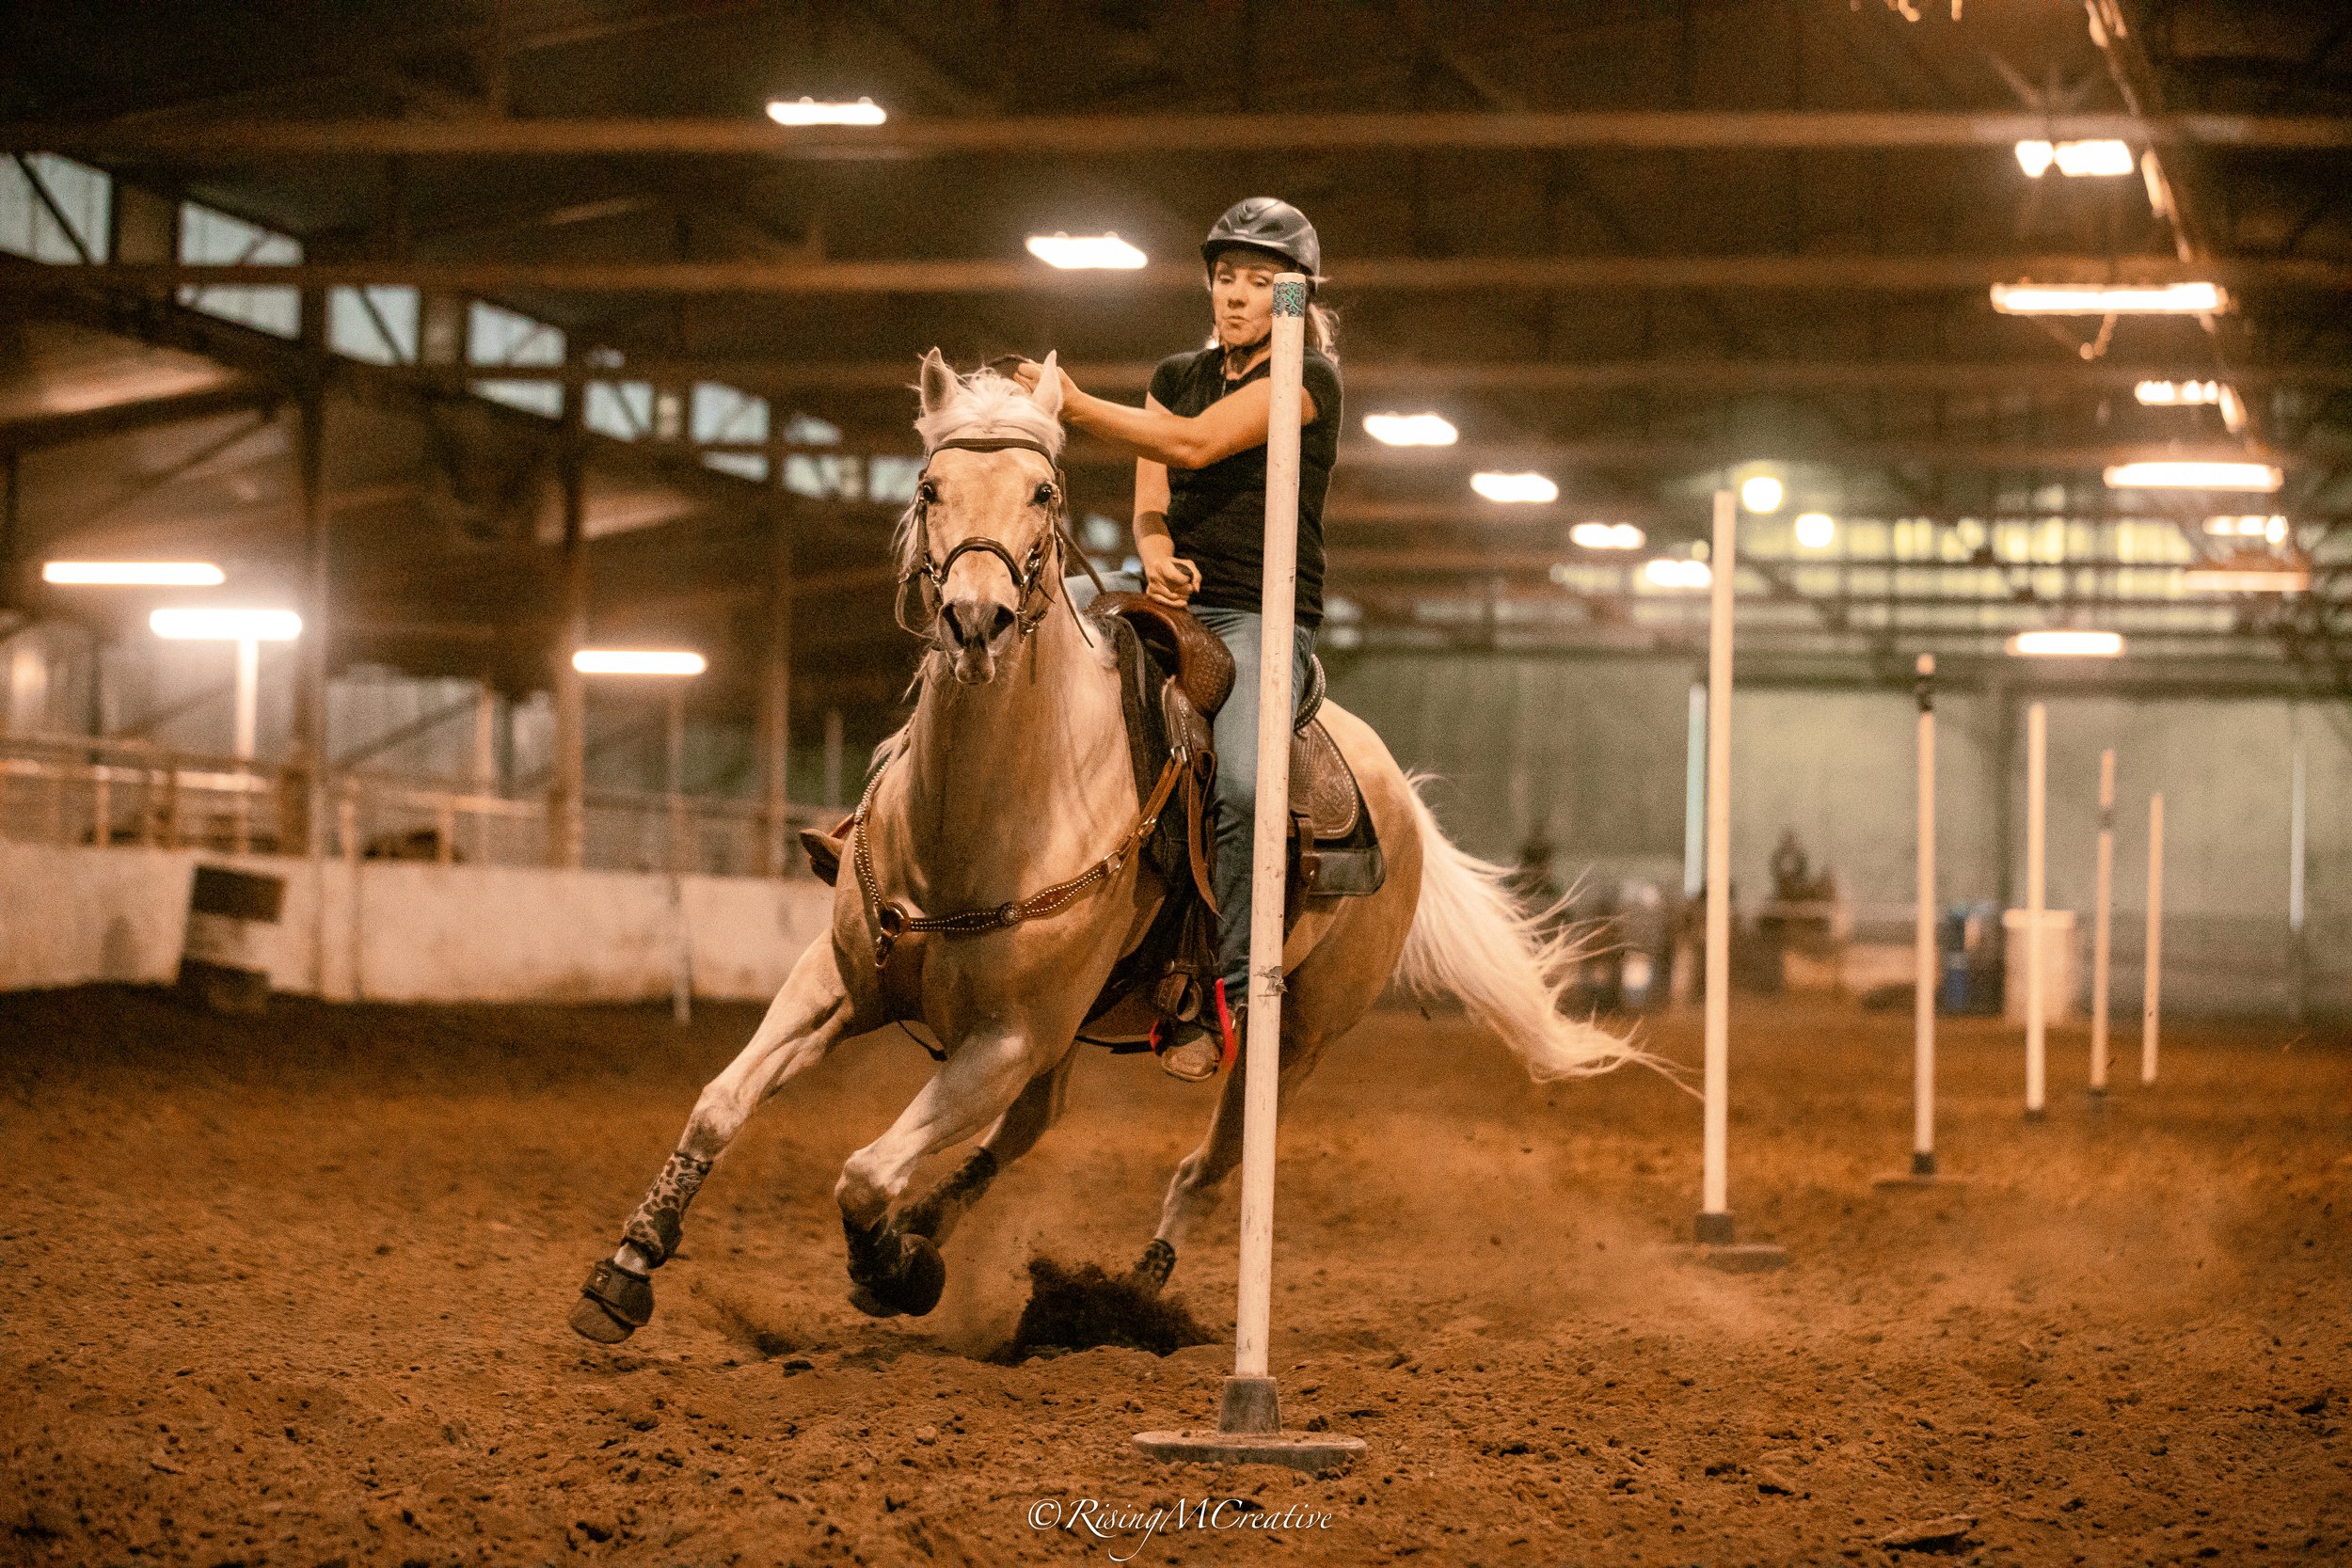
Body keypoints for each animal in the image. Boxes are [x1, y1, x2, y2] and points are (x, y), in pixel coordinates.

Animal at [569, 351, 1634, 1343]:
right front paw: (626, 1267)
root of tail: (1395, 791)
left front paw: (890, 1266)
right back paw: (943, 1231)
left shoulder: (1008, 1034)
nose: (977, 620)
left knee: (1204, 1166)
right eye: (929, 486)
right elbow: (722, 1101)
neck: (984, 813)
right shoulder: (843, 981)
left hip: (1290, 1038)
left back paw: (1127, 1284)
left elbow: (864, 1172)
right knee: (1032, 1126)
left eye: (1043, 492)